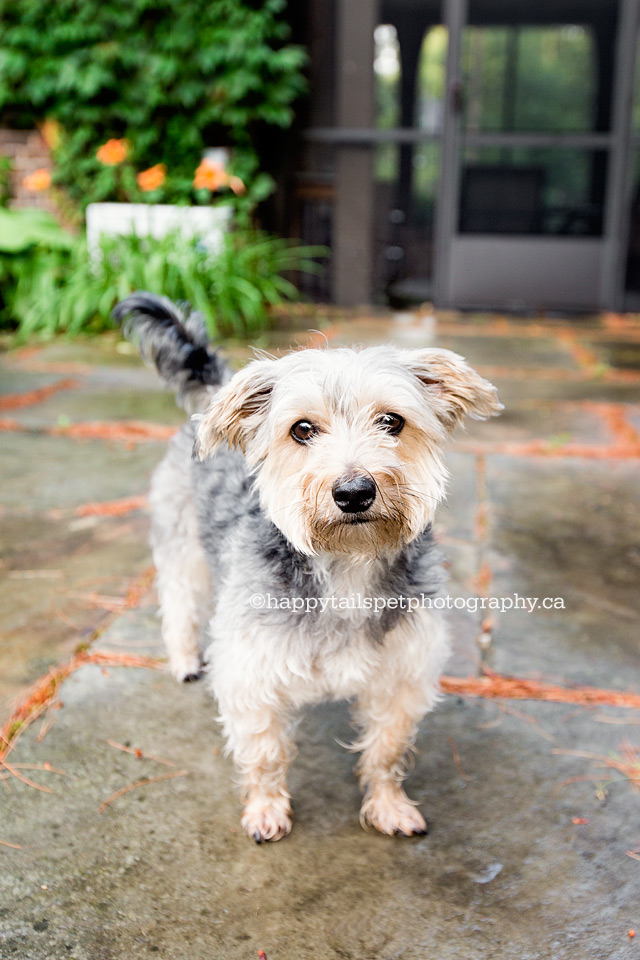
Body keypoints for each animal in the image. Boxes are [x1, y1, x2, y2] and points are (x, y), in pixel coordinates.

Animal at [116, 292, 504, 840]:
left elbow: (386, 751)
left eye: (392, 422)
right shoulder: (252, 675)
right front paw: (266, 809)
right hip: (182, 546)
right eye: (302, 429)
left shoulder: (401, 678)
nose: (354, 491)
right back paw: (186, 660)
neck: (347, 564)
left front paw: (387, 805)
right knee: (178, 605)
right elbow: (264, 753)